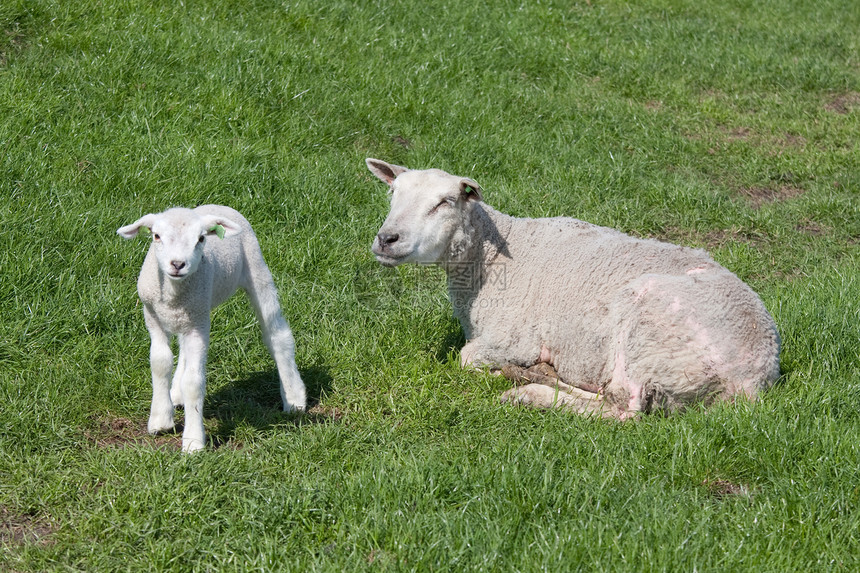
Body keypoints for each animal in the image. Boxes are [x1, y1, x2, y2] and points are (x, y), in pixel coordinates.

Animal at [116, 203, 306, 450]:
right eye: (156, 236)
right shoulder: (154, 317)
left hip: (256, 270)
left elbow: (194, 382)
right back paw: (176, 394)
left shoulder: (198, 322)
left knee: (277, 334)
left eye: (201, 238)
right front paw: (160, 420)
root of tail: (217, 205)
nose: (177, 264)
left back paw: (294, 398)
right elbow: (160, 362)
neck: (174, 294)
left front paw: (193, 441)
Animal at [366, 159, 784, 418]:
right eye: (392, 194)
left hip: (651, 336)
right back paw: (535, 378)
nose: (387, 239)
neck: (491, 257)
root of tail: (752, 379)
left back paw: (528, 393)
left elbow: (467, 359)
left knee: (624, 411)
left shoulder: (512, 338)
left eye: (445, 202)